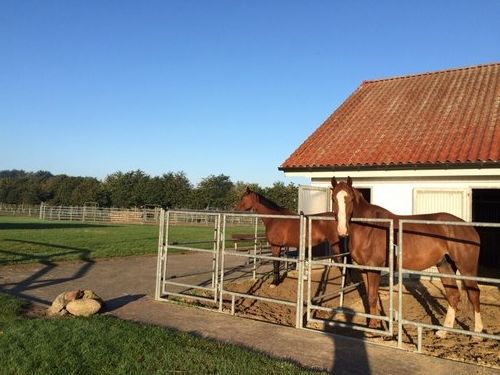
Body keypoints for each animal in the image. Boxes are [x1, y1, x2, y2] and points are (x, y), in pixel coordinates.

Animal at [330, 177, 482, 338]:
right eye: (333, 198)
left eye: (351, 199)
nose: (342, 230)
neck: (369, 227)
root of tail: (470, 228)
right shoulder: (365, 269)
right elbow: (370, 297)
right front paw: (372, 326)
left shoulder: (374, 268)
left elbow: (372, 297)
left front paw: (373, 329)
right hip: (444, 265)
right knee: (453, 295)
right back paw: (443, 332)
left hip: (466, 268)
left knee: (474, 294)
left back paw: (477, 333)